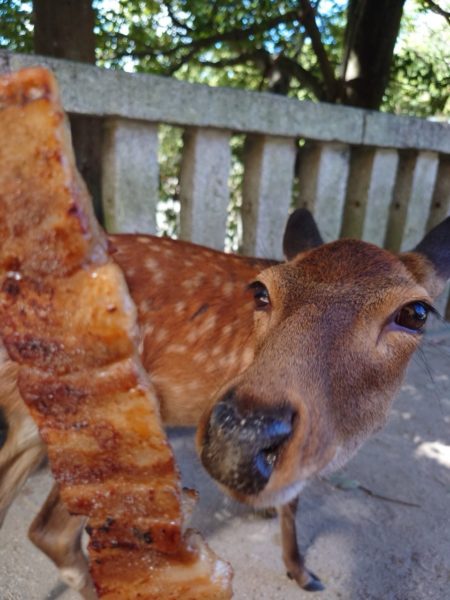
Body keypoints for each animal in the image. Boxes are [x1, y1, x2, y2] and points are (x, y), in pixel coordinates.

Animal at [1, 207, 449, 597]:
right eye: (261, 291)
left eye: (416, 312)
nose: (240, 439)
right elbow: (292, 502)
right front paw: (302, 572)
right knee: (52, 531)